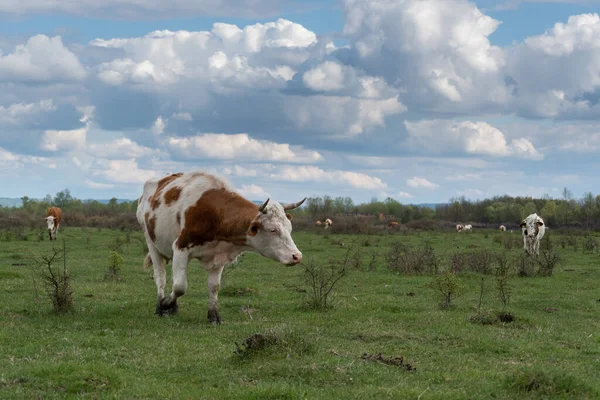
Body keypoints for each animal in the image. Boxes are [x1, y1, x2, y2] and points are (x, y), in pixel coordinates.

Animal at [139, 170, 308, 324]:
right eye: (273, 230)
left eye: (290, 228)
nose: (297, 256)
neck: (215, 214)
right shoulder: (181, 247)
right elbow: (180, 286)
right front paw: (166, 303)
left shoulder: (218, 255)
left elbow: (213, 287)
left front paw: (214, 316)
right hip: (151, 243)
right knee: (161, 277)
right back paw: (160, 306)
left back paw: (174, 308)